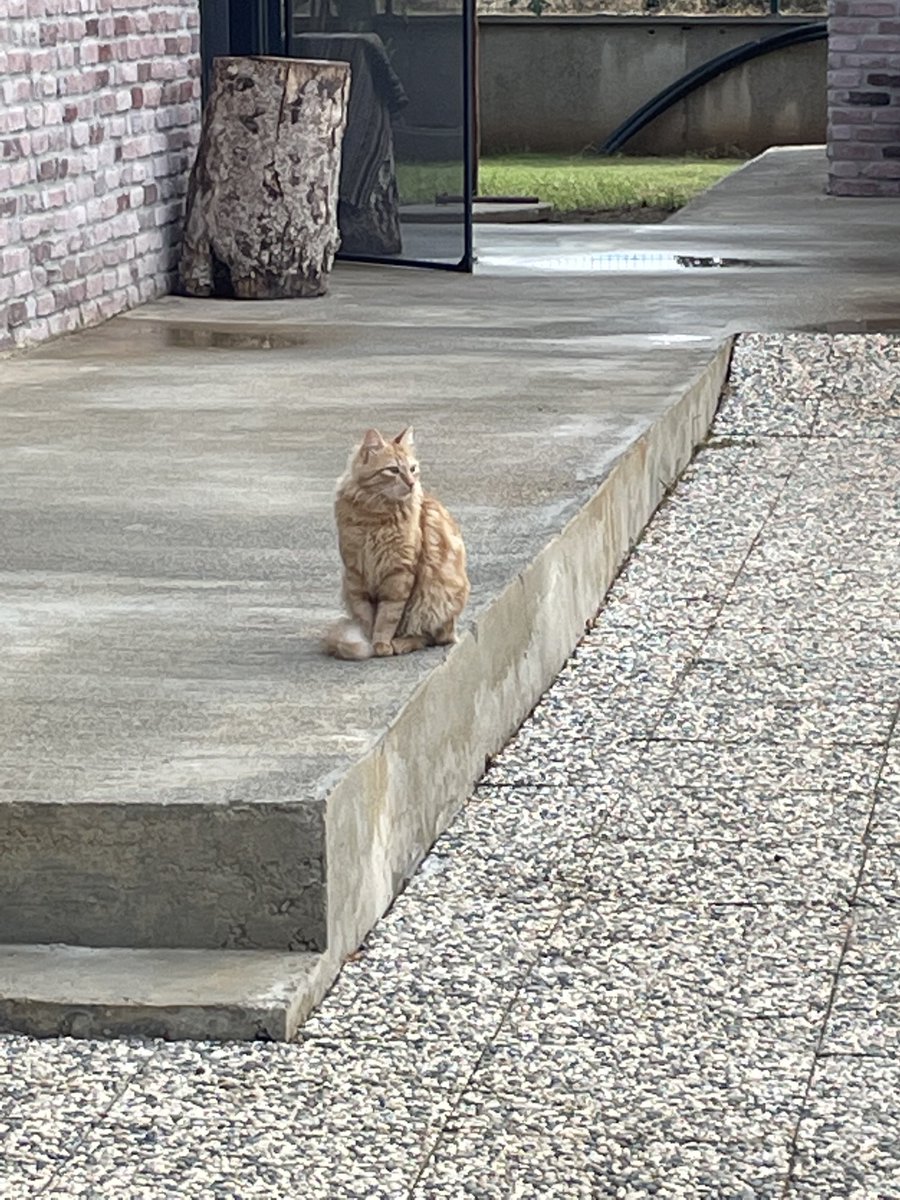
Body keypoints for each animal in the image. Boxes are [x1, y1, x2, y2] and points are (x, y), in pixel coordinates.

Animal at [324, 427, 468, 662]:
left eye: (412, 469)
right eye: (393, 470)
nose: (410, 483)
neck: (374, 517)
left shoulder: (398, 573)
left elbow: (387, 617)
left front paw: (381, 644)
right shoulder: (356, 574)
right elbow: (366, 617)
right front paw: (368, 642)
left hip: (435, 596)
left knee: (432, 638)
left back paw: (400, 643)